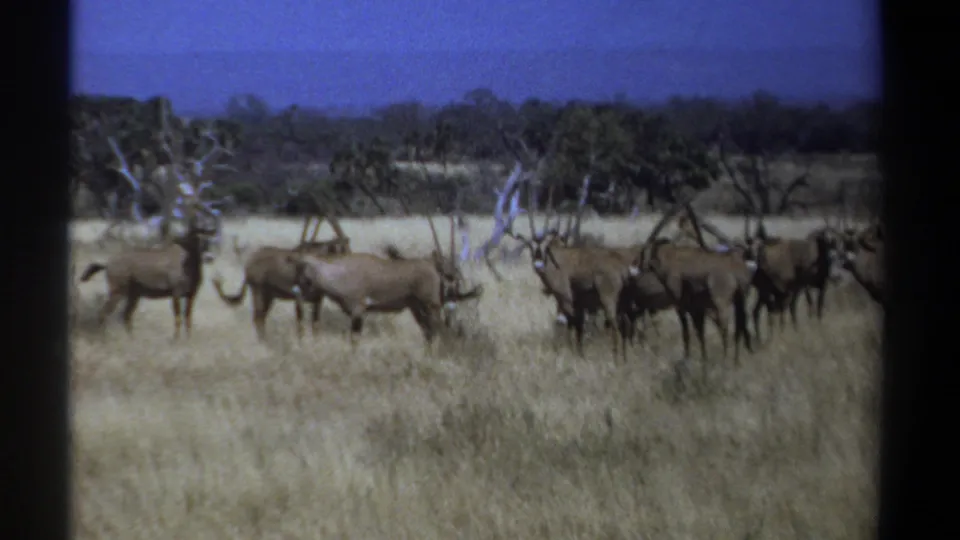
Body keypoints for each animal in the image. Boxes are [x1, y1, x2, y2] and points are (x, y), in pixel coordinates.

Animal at [79, 202, 220, 339]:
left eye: (208, 239)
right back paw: (104, 337)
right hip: (117, 292)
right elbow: (178, 318)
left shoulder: (191, 295)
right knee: (104, 313)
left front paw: (188, 339)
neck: (186, 262)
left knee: (126, 316)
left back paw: (132, 339)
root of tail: (108, 264)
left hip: (133, 296)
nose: (209, 257)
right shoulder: (176, 294)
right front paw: (176, 340)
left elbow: (188, 318)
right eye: (195, 239)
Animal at [211, 212, 351, 341]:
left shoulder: (317, 300)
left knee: (261, 317)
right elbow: (300, 325)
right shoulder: (299, 298)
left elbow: (315, 325)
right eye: (341, 250)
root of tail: (250, 261)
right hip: (258, 292)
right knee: (258, 317)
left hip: (269, 297)